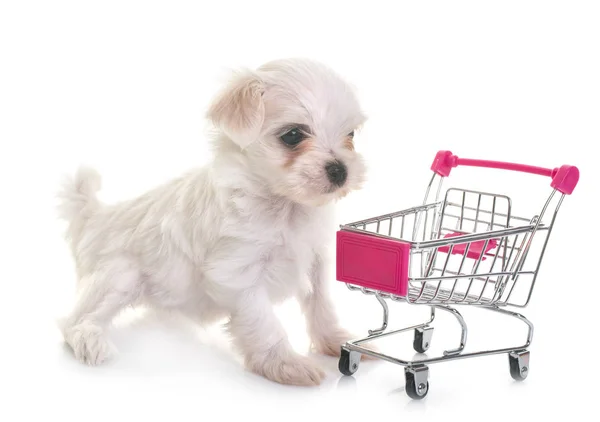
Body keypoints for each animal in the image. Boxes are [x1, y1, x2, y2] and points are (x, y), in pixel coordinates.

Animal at [57, 58, 366, 386]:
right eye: (293, 135)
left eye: (351, 135)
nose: (340, 170)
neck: (285, 207)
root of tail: (97, 217)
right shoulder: (237, 275)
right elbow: (264, 321)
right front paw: (285, 363)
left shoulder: (315, 260)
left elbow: (321, 305)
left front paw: (334, 340)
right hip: (119, 275)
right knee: (73, 321)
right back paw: (90, 339)